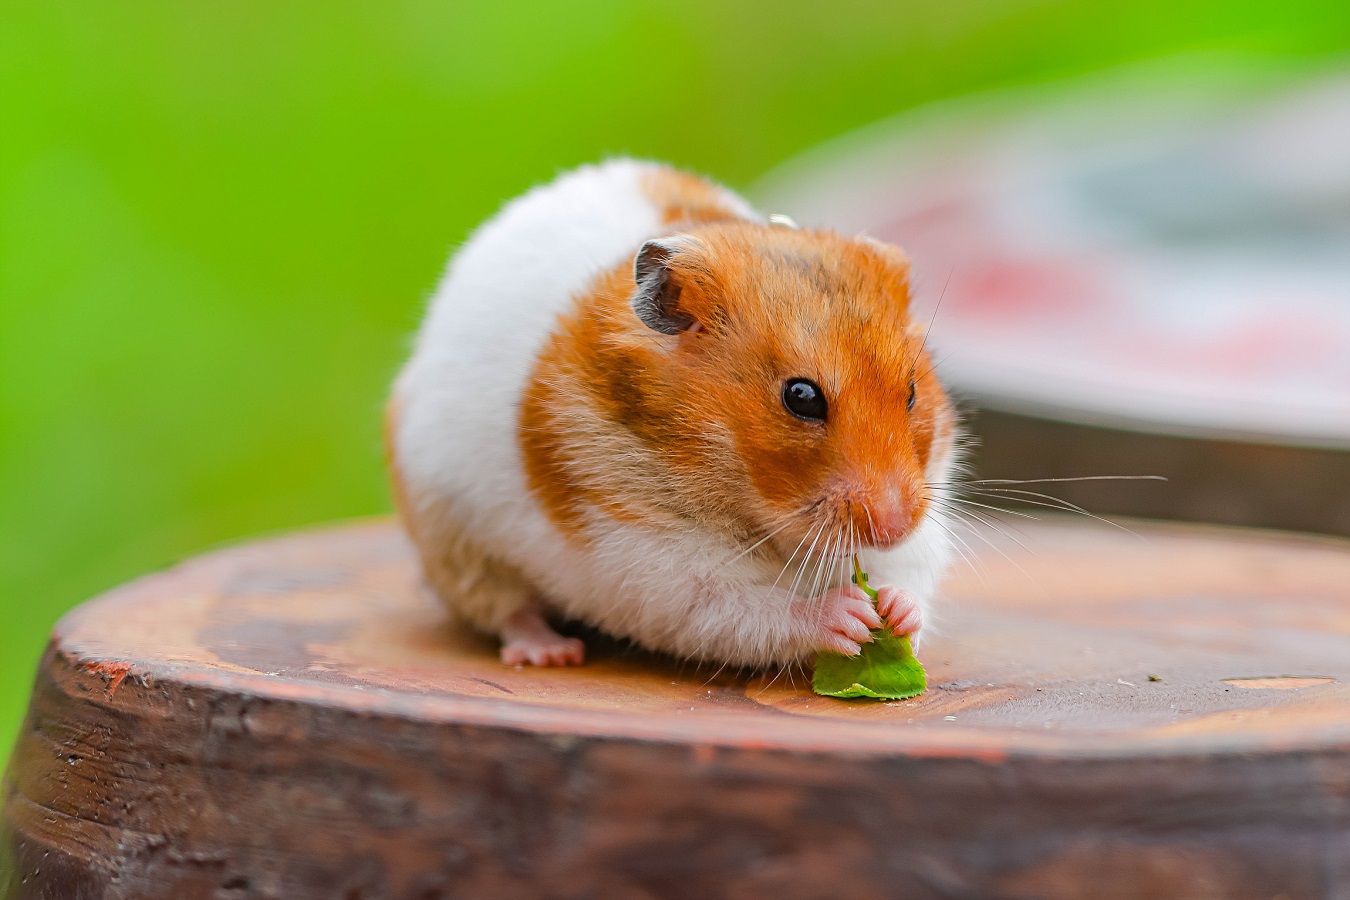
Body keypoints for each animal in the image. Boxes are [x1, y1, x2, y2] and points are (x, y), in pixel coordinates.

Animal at [388, 161, 961, 669]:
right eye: (801, 398)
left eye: (912, 392)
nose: (894, 526)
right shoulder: (645, 556)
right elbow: (745, 608)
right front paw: (849, 616)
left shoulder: (923, 512)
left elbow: (907, 573)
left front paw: (895, 613)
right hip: (455, 541)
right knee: (505, 610)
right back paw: (550, 652)